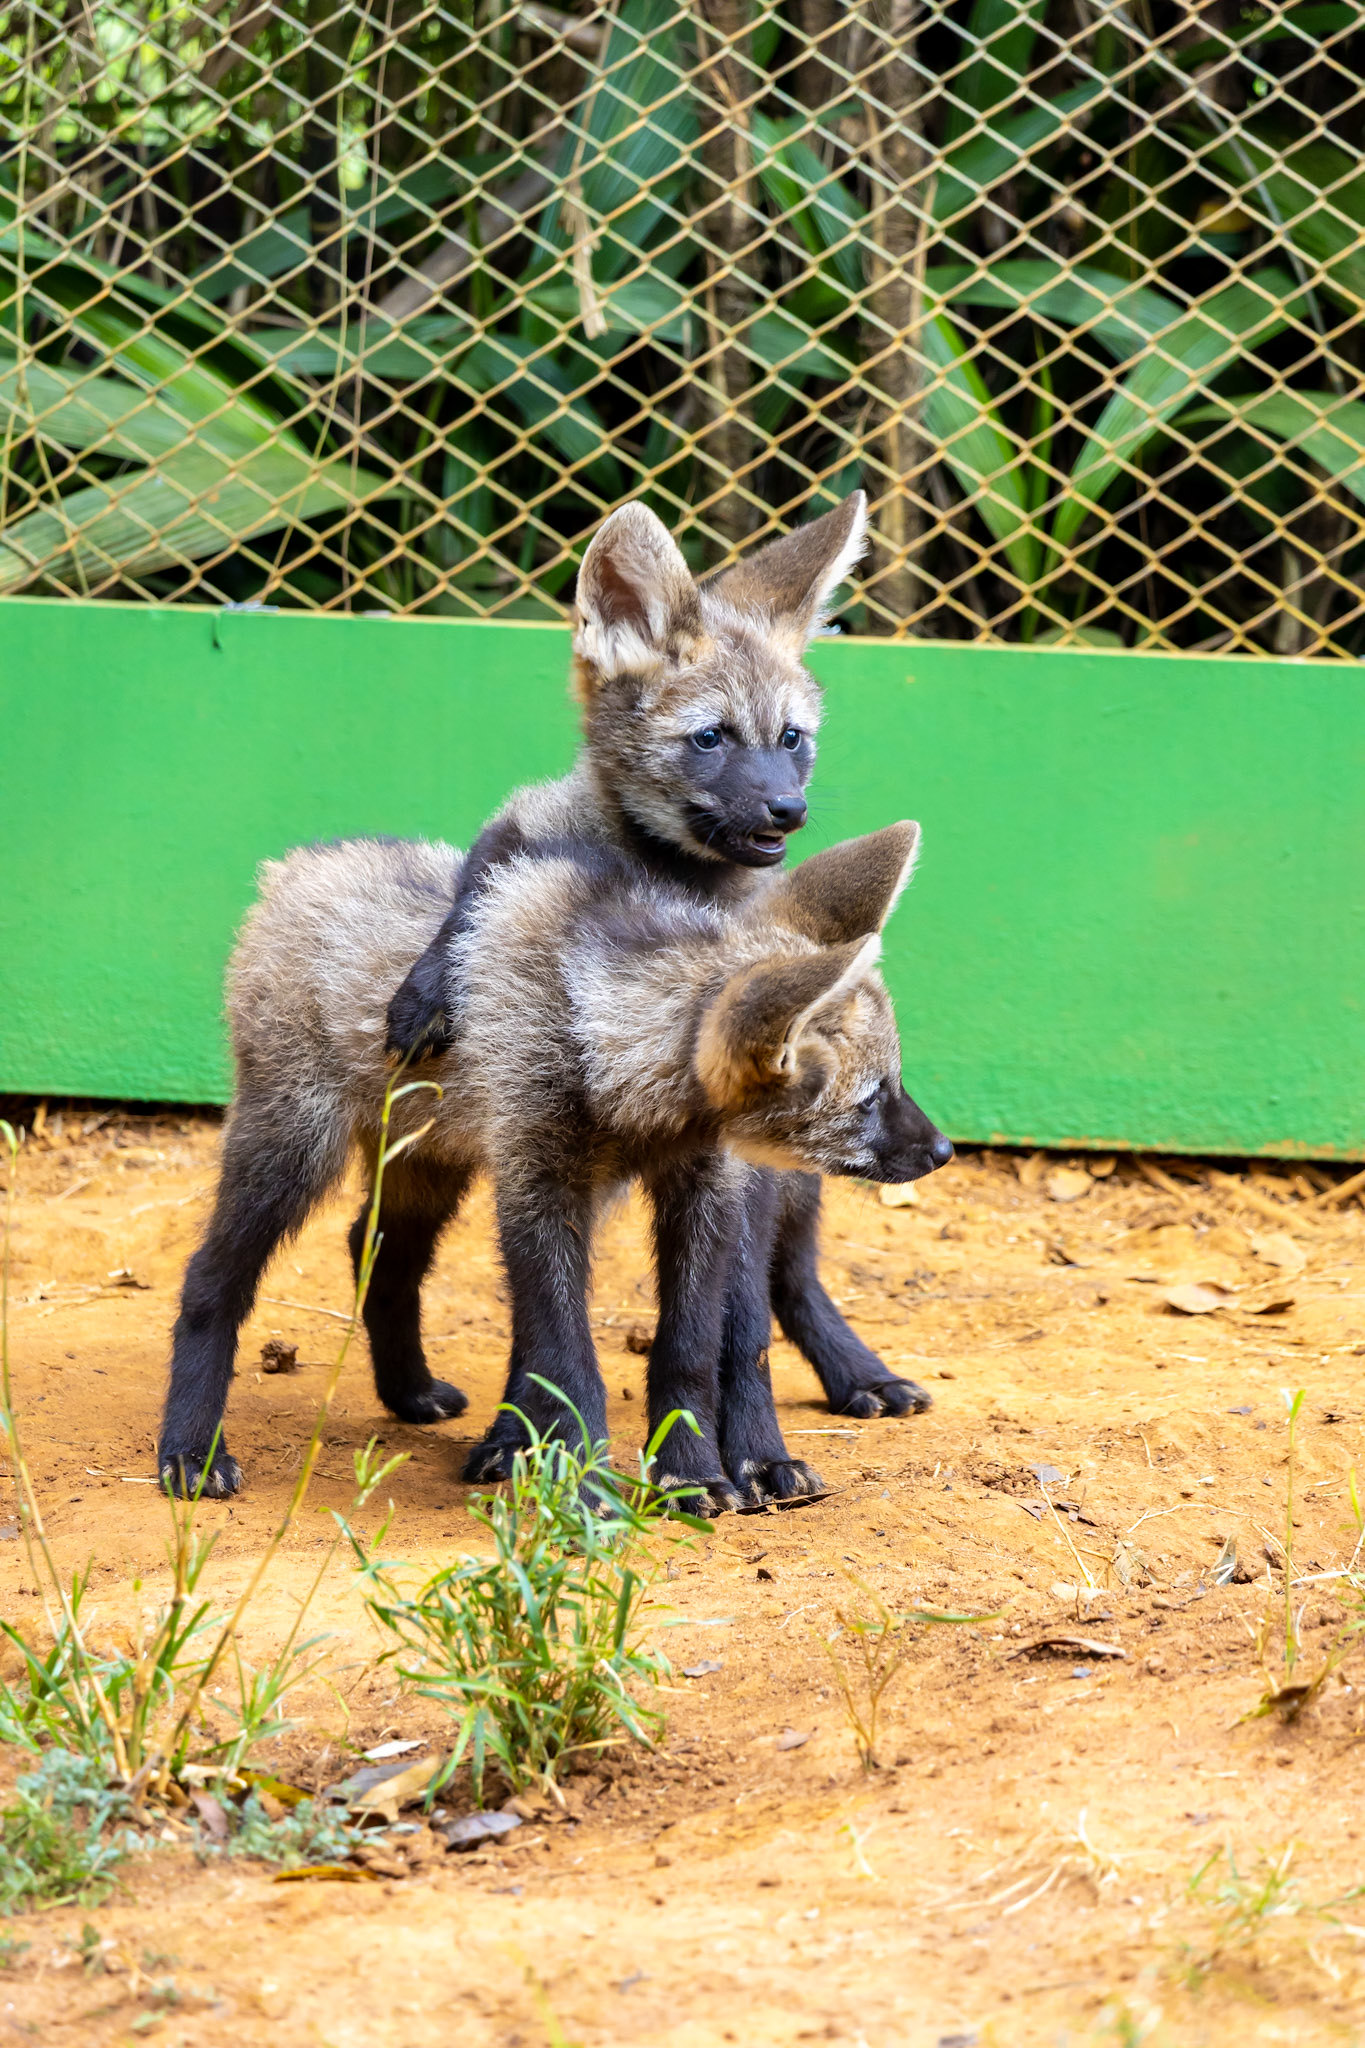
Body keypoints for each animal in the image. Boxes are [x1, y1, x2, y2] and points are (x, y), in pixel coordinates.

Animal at [158, 823, 951, 1502]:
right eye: (870, 1099)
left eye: (896, 1082)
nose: (943, 1150)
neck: (597, 1048)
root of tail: (298, 864)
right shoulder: (539, 1186)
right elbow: (570, 1359)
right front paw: (593, 1494)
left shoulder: (701, 1190)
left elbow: (693, 1349)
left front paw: (691, 1476)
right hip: (296, 1149)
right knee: (211, 1277)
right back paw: (192, 1451)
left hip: (436, 1164)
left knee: (376, 1250)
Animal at [385, 491, 938, 1431]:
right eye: (710, 739)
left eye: (792, 738)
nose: (788, 812)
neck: (660, 881)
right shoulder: (529, 840)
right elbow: (479, 883)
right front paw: (427, 991)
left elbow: (734, 1311)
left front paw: (745, 1442)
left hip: (786, 1187)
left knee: (786, 1280)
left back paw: (842, 1373)